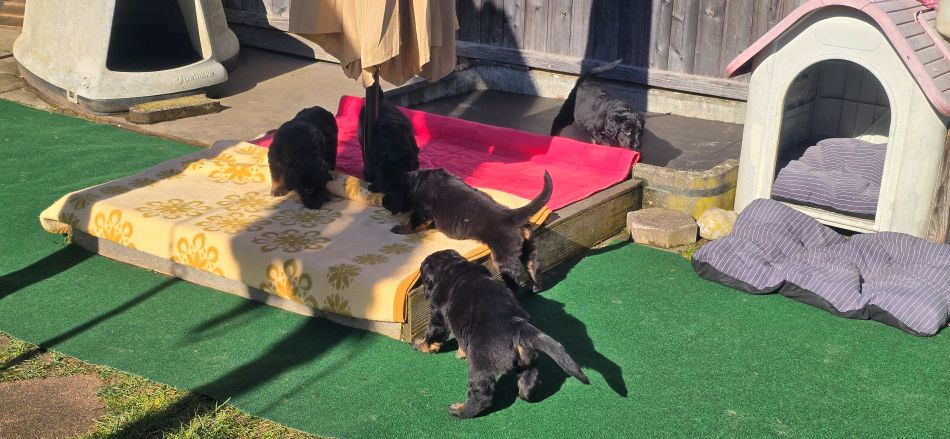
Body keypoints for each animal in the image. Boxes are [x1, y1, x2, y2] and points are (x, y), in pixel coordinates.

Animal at [392, 168, 553, 293]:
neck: (419, 180)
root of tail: (510, 214)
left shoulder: (421, 209)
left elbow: (412, 223)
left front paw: (400, 228)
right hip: (528, 245)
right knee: (533, 265)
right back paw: (536, 287)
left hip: (503, 255)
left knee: (515, 275)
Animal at [413, 249, 589, 419]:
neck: (452, 266)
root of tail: (517, 325)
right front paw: (460, 351)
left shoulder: (438, 314)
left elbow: (433, 332)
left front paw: (420, 345)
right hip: (527, 358)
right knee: (529, 380)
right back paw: (526, 393)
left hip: (480, 362)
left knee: (481, 395)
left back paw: (460, 410)